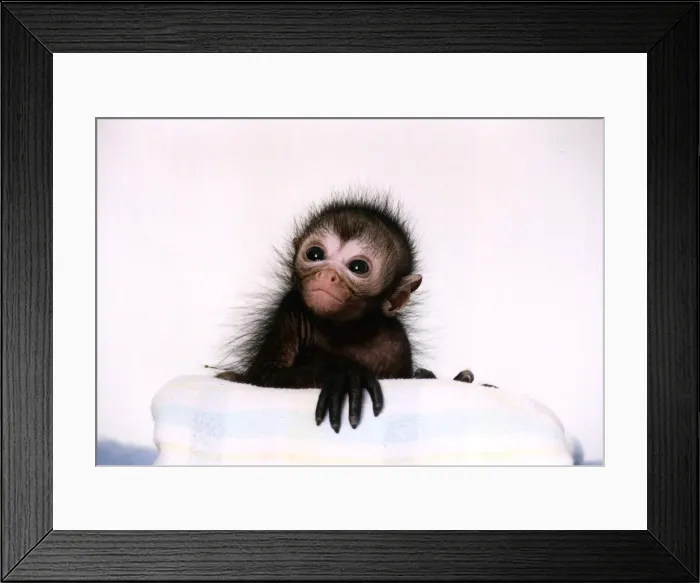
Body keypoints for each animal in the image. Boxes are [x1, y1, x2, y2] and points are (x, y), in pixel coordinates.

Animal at [214, 188, 494, 432]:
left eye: (358, 267)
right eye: (315, 254)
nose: (326, 275)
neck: (345, 329)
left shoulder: (397, 340)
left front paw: (445, 377)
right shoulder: (290, 309)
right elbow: (265, 376)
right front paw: (343, 374)